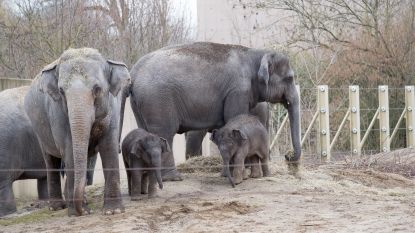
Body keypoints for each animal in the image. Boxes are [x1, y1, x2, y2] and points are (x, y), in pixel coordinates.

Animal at [24, 47, 130, 217]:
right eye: (61, 91)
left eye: (97, 89)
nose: (82, 211)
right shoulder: (57, 113)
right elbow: (69, 149)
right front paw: (79, 212)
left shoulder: (113, 108)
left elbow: (109, 146)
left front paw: (113, 211)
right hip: (39, 130)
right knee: (51, 161)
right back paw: (57, 207)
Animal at [127, 42, 302, 180]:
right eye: (289, 78)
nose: (288, 156)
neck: (256, 52)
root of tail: (133, 73)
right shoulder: (237, 91)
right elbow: (233, 118)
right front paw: (232, 175)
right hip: (158, 100)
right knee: (165, 132)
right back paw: (174, 178)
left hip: (139, 103)